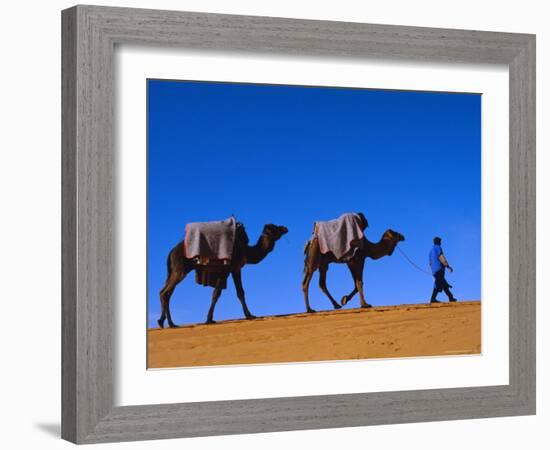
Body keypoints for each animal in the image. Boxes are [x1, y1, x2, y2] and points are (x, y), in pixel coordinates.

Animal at [158, 222, 288, 326]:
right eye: (275, 228)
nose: (285, 228)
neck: (245, 250)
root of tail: (171, 251)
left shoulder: (236, 269)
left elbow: (240, 292)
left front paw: (249, 315)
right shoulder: (227, 269)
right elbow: (216, 293)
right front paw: (209, 320)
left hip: (174, 270)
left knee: (168, 292)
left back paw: (169, 323)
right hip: (180, 270)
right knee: (165, 292)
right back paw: (165, 322)